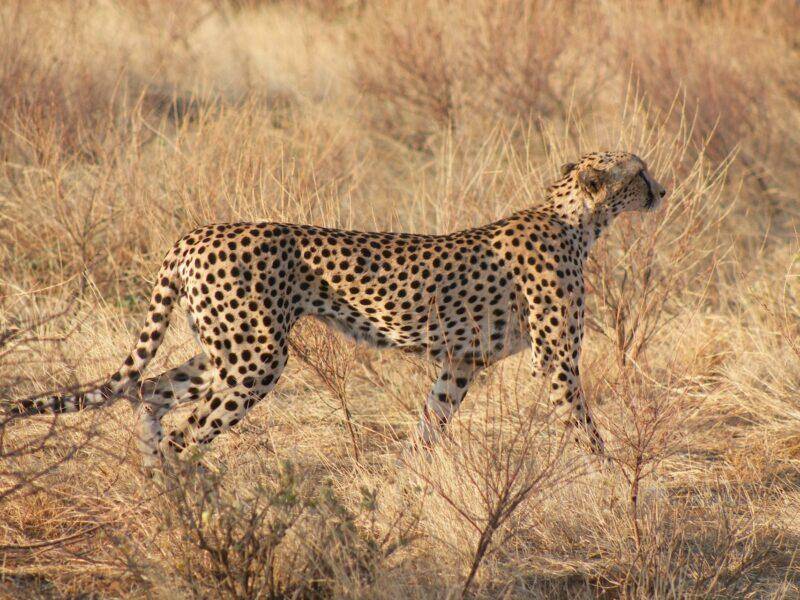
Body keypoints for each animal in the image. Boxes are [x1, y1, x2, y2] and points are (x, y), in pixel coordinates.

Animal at [10, 151, 667, 469]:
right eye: (638, 171)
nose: (662, 190)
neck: (577, 220)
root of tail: (196, 233)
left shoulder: (461, 361)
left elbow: (431, 422)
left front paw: (408, 486)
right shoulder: (553, 360)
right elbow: (583, 426)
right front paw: (609, 480)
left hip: (223, 350)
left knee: (148, 392)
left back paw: (154, 485)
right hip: (255, 360)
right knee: (181, 431)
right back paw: (190, 506)